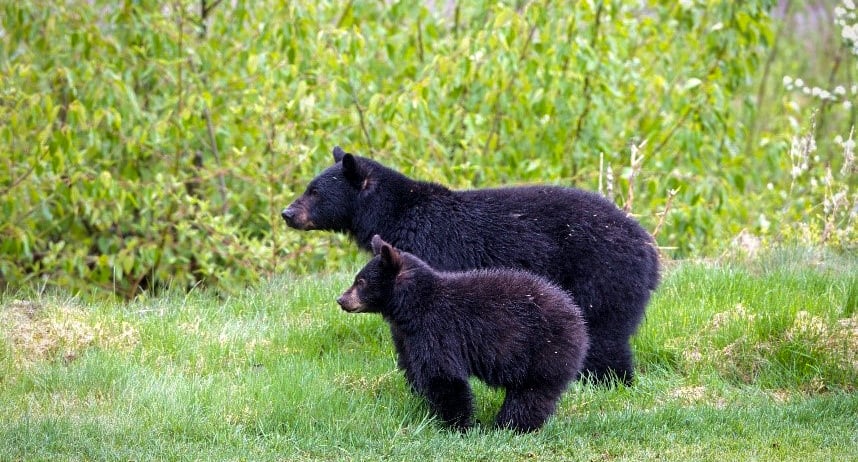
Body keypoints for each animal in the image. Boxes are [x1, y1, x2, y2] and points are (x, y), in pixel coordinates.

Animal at [283, 146, 660, 385]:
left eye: (314, 192)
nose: (287, 213)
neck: (396, 214)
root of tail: (648, 248)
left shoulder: (430, 248)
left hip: (602, 274)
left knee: (606, 334)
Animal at [336, 235, 589, 433]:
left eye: (361, 281)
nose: (341, 299)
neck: (414, 306)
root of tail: (577, 317)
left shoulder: (437, 330)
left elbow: (443, 375)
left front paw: (457, 425)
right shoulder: (407, 337)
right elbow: (412, 367)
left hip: (544, 350)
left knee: (532, 394)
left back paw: (509, 426)